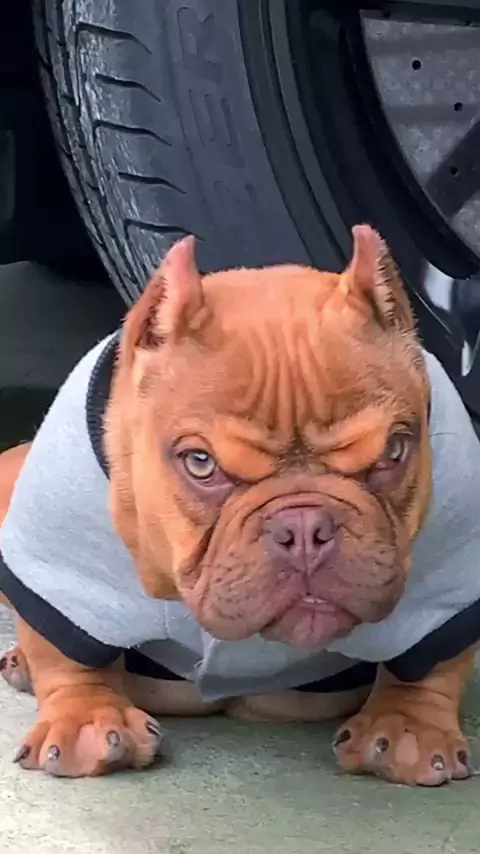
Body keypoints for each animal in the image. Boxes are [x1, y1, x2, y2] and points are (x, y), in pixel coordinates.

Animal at [1, 225, 480, 785]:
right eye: (200, 463)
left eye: (394, 451)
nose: (305, 527)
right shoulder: (61, 557)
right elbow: (68, 652)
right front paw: (87, 716)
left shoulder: (450, 563)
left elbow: (430, 661)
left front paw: (408, 726)